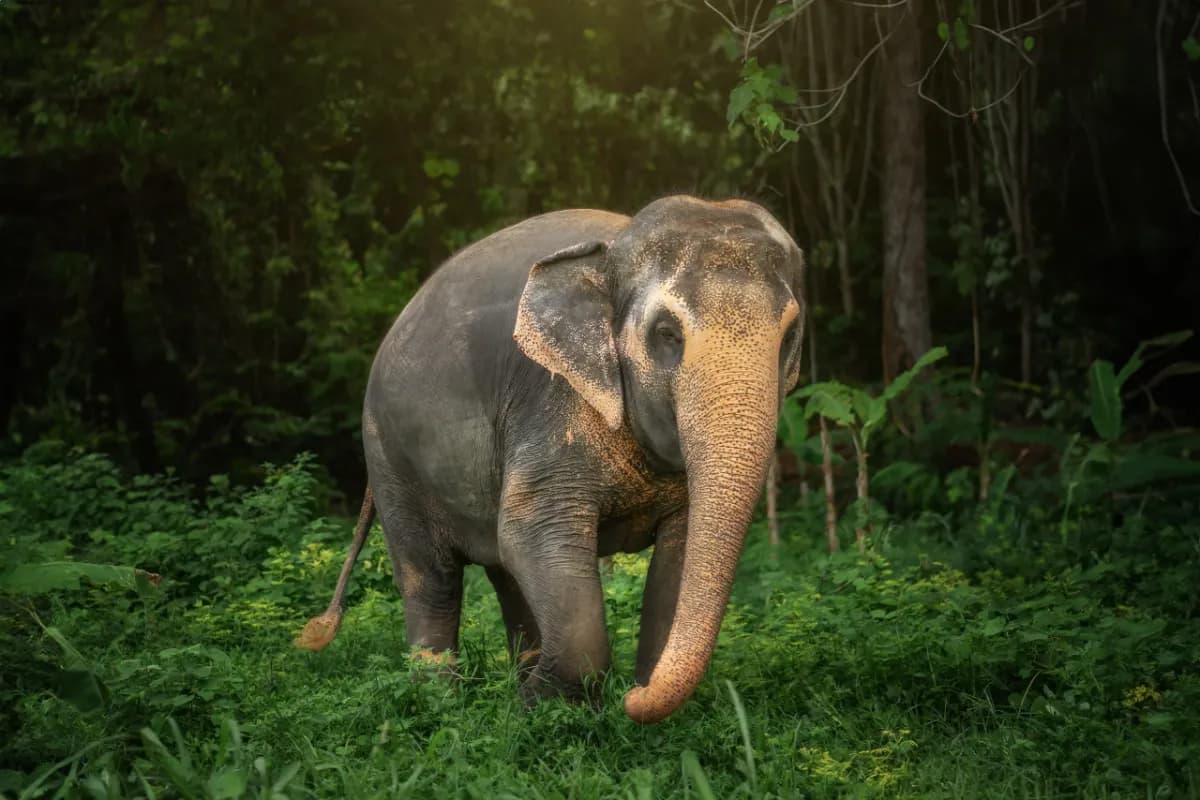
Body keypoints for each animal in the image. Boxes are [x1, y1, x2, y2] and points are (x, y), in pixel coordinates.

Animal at [295, 195, 806, 724]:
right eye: (667, 333)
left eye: (790, 333)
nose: (632, 697)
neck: (612, 250)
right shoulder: (546, 399)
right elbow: (531, 529)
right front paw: (559, 714)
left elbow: (681, 553)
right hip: (390, 456)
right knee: (432, 579)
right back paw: (439, 706)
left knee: (504, 573)